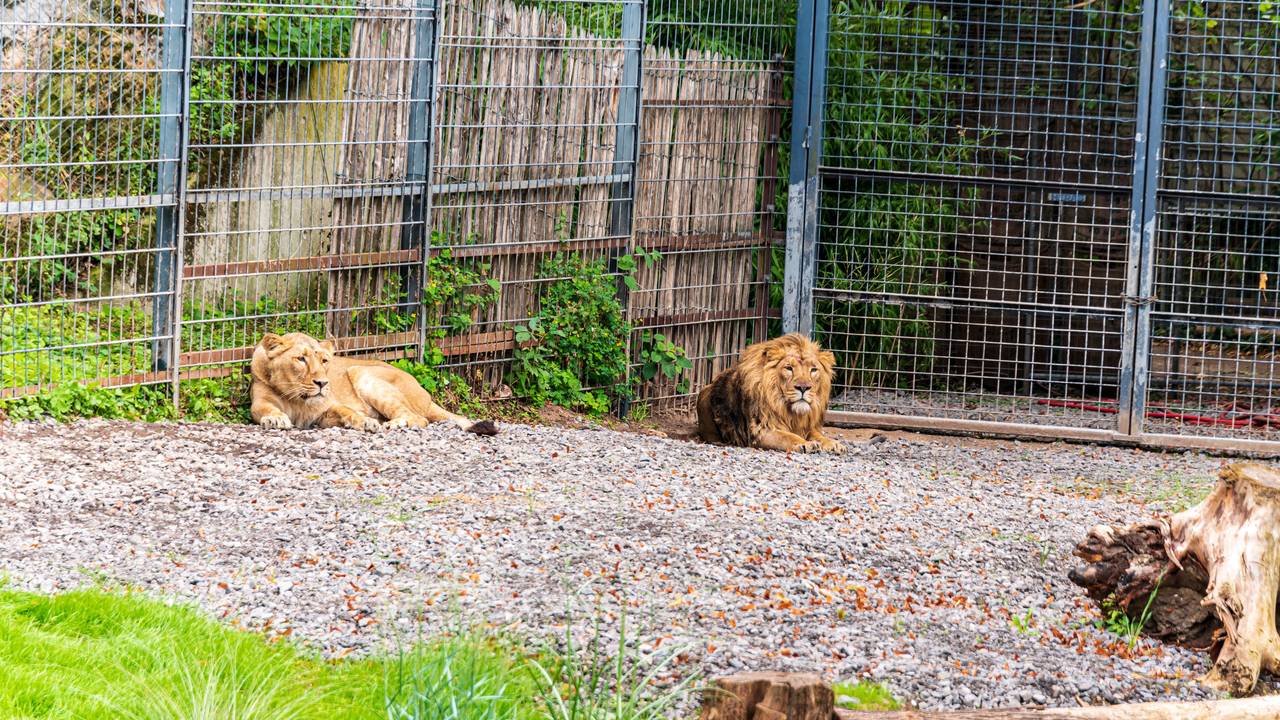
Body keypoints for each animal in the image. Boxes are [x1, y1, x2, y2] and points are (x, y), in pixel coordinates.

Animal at [249, 332, 497, 436]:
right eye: (301, 359)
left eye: (324, 360)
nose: (322, 383)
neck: (297, 398)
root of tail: (426, 394)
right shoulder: (261, 401)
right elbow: (266, 408)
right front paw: (275, 418)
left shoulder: (329, 405)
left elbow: (348, 411)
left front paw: (366, 422)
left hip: (361, 372)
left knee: (419, 418)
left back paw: (392, 425)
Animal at [696, 333, 843, 454]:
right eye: (789, 368)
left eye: (813, 370)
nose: (803, 388)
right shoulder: (761, 430)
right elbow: (788, 436)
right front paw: (805, 444)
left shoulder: (806, 426)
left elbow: (818, 435)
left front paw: (833, 443)